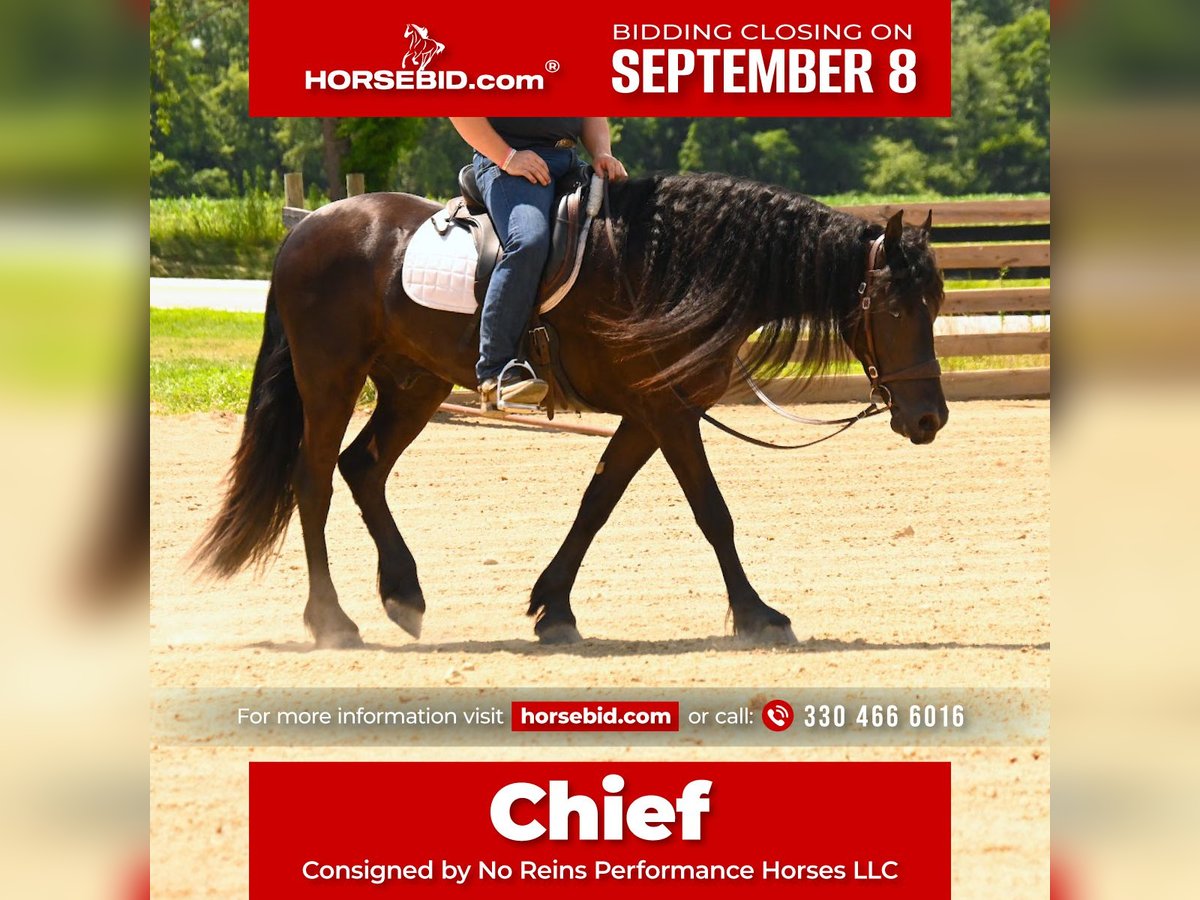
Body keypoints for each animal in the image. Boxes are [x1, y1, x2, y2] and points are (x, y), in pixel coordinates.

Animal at [192, 172, 948, 649]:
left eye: (936, 304)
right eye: (896, 308)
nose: (929, 418)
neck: (670, 265)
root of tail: (309, 228)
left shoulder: (649, 414)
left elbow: (597, 502)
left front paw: (553, 608)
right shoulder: (667, 412)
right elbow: (714, 513)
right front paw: (758, 616)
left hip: (414, 384)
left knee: (363, 468)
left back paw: (402, 594)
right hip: (331, 378)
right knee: (313, 481)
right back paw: (332, 621)